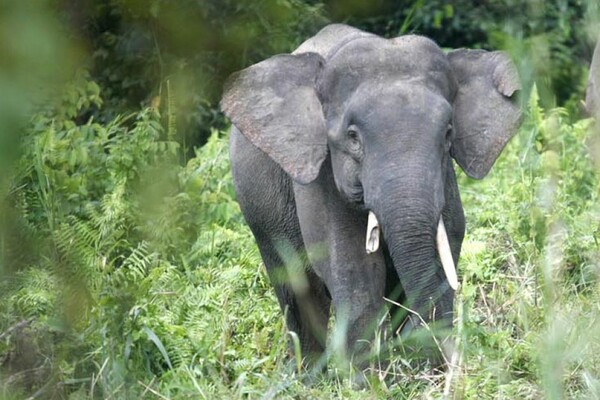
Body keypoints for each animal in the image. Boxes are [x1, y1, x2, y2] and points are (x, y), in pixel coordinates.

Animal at [220, 24, 520, 368]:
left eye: (447, 133)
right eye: (352, 138)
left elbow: (448, 243)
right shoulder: (321, 179)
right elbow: (353, 268)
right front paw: (368, 376)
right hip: (259, 210)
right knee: (298, 289)